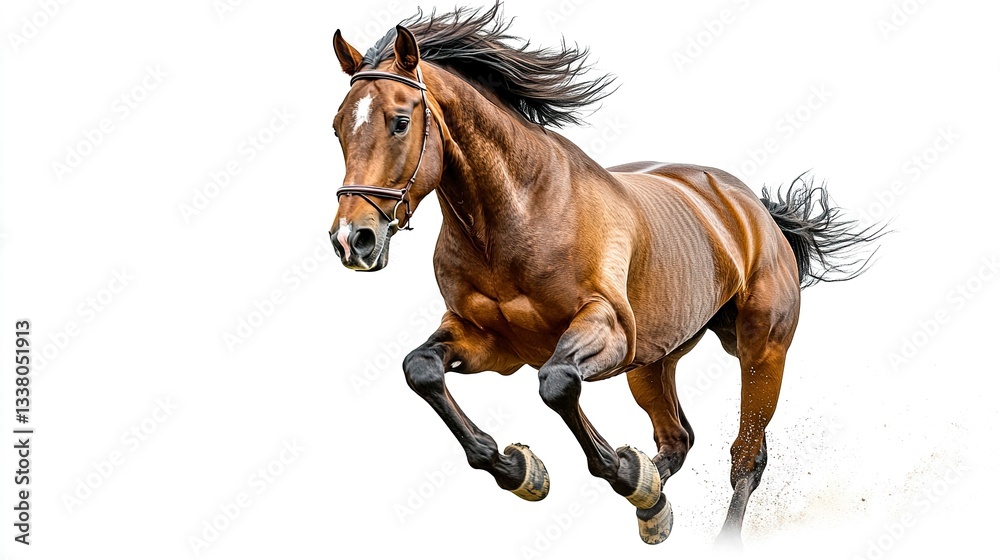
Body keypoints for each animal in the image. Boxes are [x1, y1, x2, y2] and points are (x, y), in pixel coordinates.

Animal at [328, 5, 882, 547]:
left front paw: (619, 474)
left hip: (761, 351)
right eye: (337, 127)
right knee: (678, 439)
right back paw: (653, 506)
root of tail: (752, 208)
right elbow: (420, 369)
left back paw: (668, 502)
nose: (353, 239)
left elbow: (556, 384)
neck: (516, 215)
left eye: (400, 122)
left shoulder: (606, 327)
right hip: (653, 362)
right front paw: (520, 469)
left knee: (746, 456)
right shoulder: (488, 342)